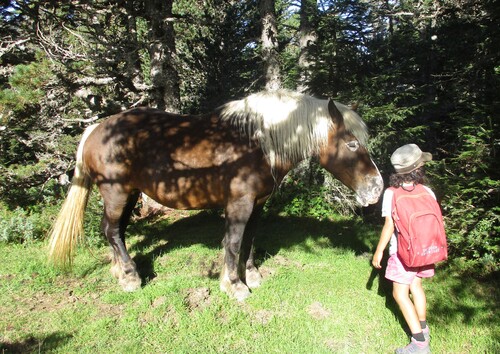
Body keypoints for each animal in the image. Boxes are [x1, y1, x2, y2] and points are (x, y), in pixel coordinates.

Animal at [48, 89, 382, 302]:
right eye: (352, 144)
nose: (377, 187)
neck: (257, 144)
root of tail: (95, 130)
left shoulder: (257, 205)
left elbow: (249, 240)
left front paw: (251, 275)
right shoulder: (239, 205)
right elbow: (232, 243)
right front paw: (234, 285)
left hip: (128, 193)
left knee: (114, 230)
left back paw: (120, 270)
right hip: (116, 192)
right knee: (112, 230)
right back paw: (130, 276)